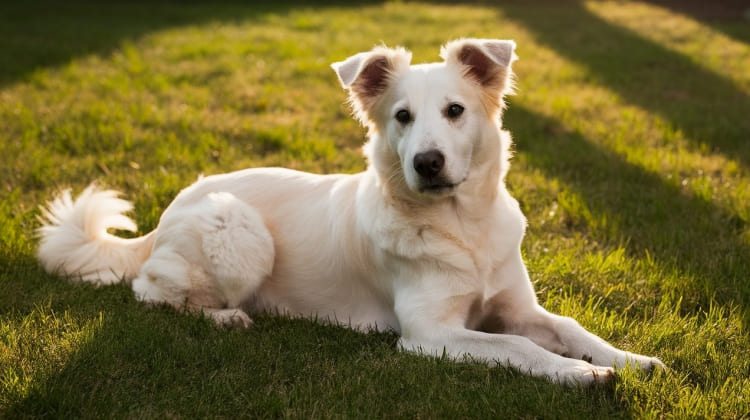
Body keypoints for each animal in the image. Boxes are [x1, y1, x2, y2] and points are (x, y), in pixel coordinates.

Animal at [38, 38, 668, 384]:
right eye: (402, 117)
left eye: (455, 110)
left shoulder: (517, 307)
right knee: (150, 291)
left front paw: (629, 360)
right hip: (237, 231)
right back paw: (226, 318)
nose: (428, 163)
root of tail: (173, 206)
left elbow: (567, 327)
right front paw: (582, 375)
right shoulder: (428, 333)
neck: (462, 227)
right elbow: (519, 348)